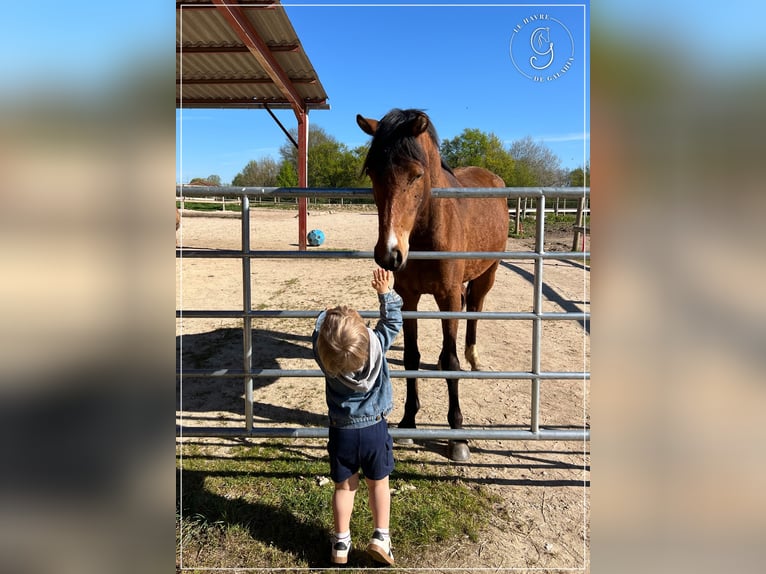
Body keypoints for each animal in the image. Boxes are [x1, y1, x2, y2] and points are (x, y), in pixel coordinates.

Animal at [356, 109, 509, 461]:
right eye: (372, 172)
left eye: (416, 174)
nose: (389, 253)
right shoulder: (409, 297)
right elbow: (412, 357)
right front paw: (408, 422)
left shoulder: (447, 296)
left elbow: (452, 363)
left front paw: (457, 437)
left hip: (487, 273)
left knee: (474, 309)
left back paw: (474, 358)